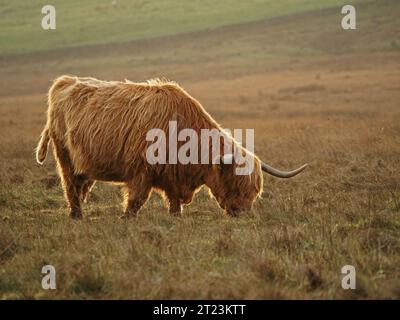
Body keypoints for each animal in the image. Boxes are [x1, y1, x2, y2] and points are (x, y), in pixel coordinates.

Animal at [36, 76, 306, 219]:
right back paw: (76, 216)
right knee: (70, 186)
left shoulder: (173, 177)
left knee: (81, 186)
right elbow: (136, 200)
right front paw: (125, 219)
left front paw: (176, 217)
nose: (242, 213)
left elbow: (174, 202)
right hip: (64, 156)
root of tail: (65, 81)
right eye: (235, 185)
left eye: (255, 191)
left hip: (85, 164)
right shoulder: (141, 172)